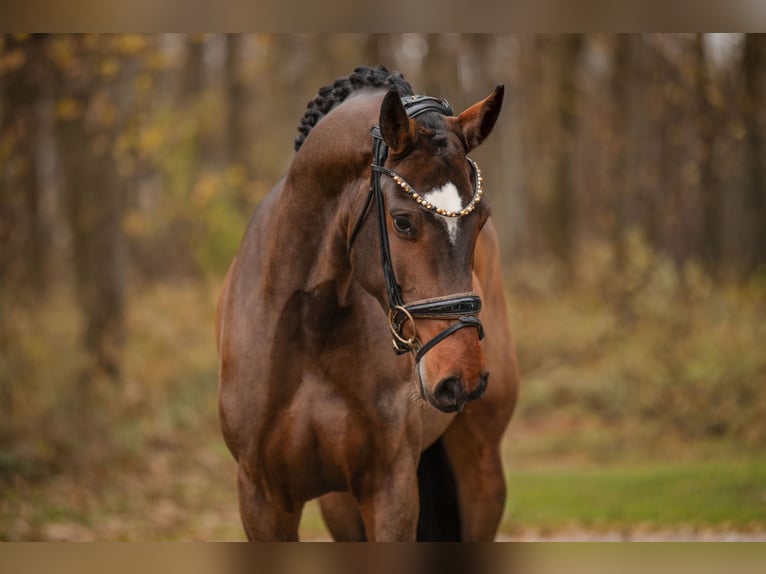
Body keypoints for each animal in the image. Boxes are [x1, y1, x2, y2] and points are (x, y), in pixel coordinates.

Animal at [216, 66, 519, 541]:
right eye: (402, 222)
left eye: (480, 219)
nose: (462, 377)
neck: (308, 331)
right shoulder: (262, 500)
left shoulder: (390, 490)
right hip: (340, 507)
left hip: (481, 470)